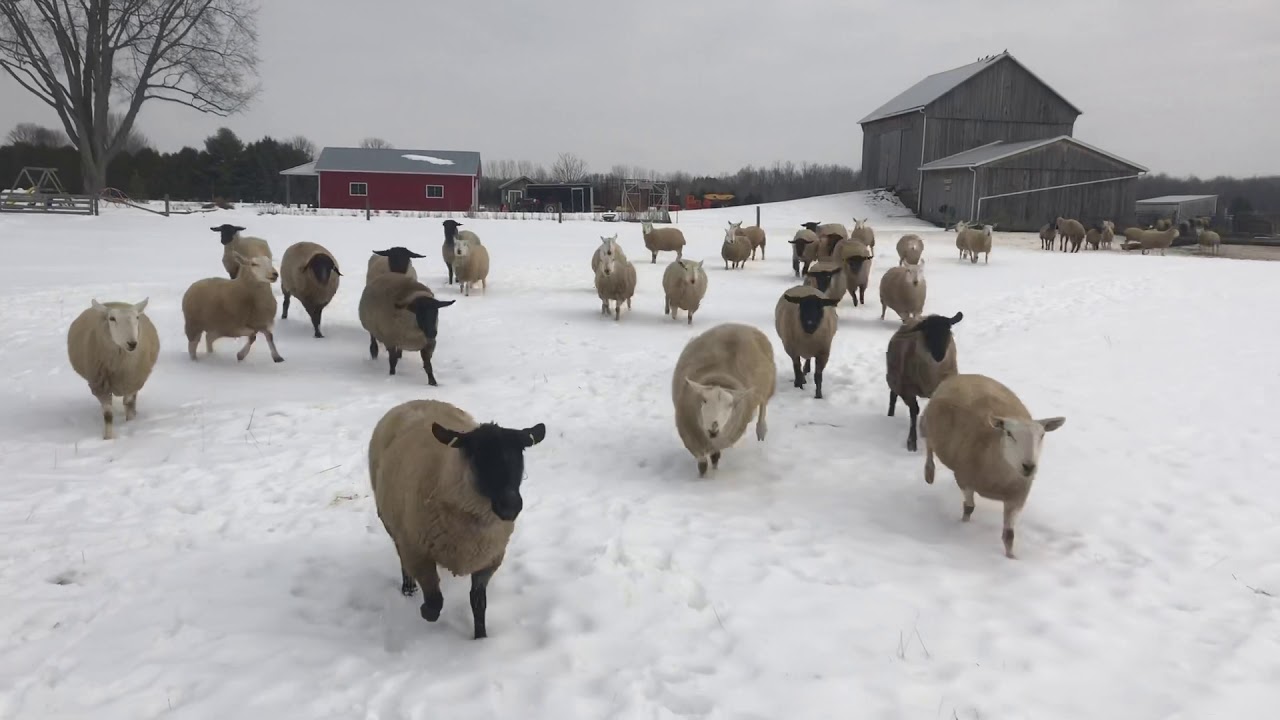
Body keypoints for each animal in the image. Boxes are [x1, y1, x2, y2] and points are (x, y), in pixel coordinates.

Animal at [65, 298, 160, 440]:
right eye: (112, 318)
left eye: (137, 317)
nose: (132, 343)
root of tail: (115, 301)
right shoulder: (101, 386)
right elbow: (108, 415)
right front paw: (108, 438)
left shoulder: (131, 381)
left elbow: (128, 404)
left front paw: (130, 425)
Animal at [368, 398, 546, 638]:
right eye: (478, 455)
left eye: (520, 455)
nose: (510, 507)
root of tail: (416, 400)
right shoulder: (417, 552)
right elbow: (435, 602)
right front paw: (425, 611)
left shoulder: (489, 559)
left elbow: (478, 603)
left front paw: (481, 638)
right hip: (394, 525)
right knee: (401, 558)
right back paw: (408, 588)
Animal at [671, 322, 776, 477]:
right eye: (704, 400)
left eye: (730, 405)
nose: (713, 428)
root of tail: (741, 325)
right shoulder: (689, 434)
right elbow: (703, 464)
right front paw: (702, 476)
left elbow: (715, 457)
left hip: (768, 384)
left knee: (763, 405)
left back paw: (761, 429)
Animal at [885, 312, 962, 452]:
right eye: (926, 332)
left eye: (948, 331)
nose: (939, 356)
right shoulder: (907, 390)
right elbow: (914, 411)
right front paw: (911, 443)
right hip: (895, 379)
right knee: (893, 396)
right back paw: (890, 416)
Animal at [920, 373, 1066, 559]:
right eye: (1009, 433)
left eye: (1042, 436)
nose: (1029, 467)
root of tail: (964, 375)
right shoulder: (964, 479)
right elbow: (969, 508)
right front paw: (963, 526)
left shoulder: (1016, 498)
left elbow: (1009, 536)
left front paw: (1011, 558)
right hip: (929, 425)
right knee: (929, 446)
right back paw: (929, 473)